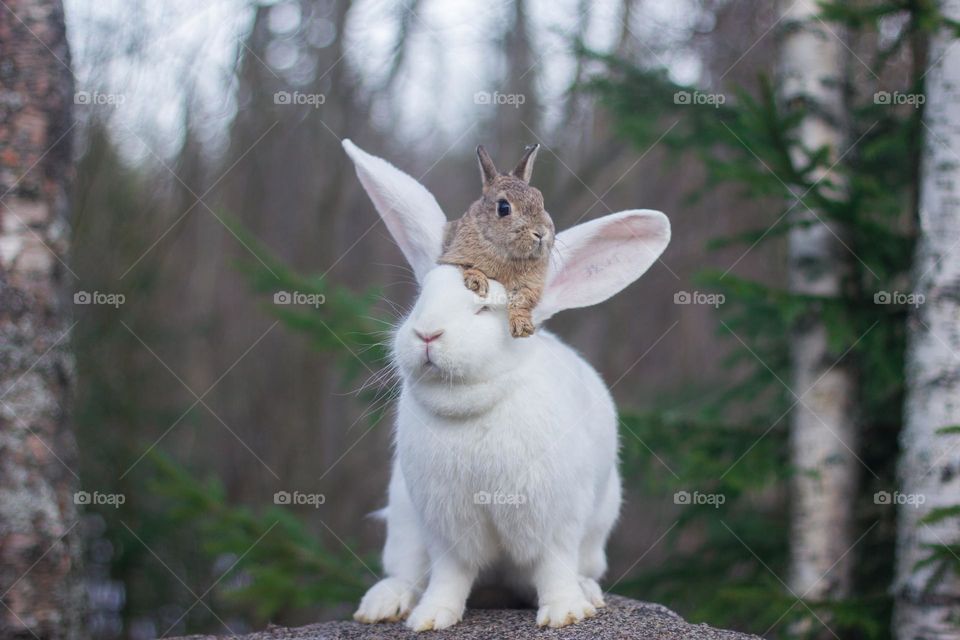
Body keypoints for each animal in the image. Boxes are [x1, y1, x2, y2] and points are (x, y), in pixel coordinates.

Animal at [438, 144, 555, 338]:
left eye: (541, 201)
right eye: (504, 207)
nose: (540, 233)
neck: (506, 253)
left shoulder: (531, 285)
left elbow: (522, 300)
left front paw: (522, 326)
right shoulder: (452, 258)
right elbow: (467, 267)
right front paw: (477, 283)